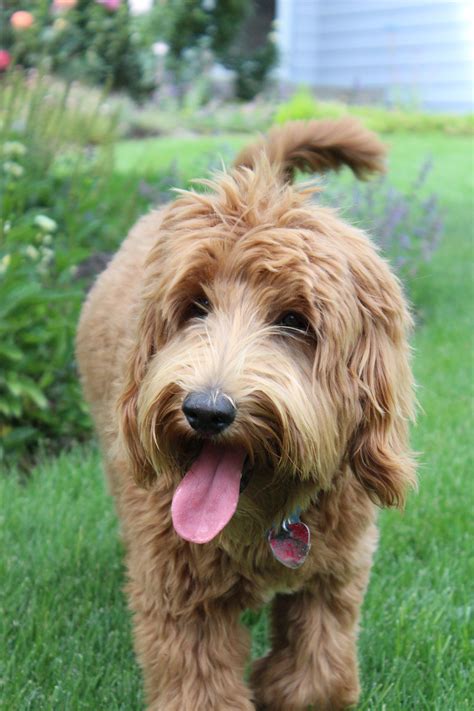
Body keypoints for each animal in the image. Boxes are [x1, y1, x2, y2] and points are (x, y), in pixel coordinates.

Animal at [77, 119, 414, 708]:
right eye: (195, 308)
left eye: (296, 321)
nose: (206, 411)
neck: (265, 516)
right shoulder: (180, 596)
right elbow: (201, 687)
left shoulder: (334, 578)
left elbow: (318, 676)